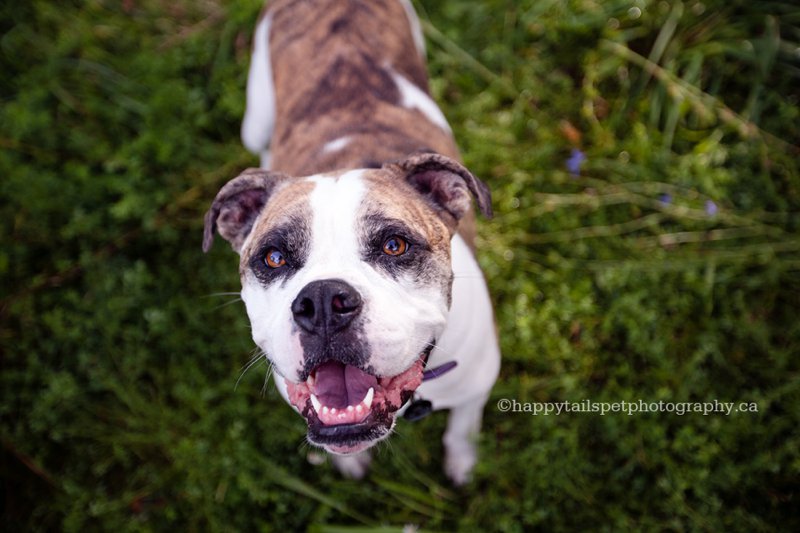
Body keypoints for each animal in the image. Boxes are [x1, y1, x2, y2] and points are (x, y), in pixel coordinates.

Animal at [202, 0, 500, 482]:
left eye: (395, 246)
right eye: (274, 257)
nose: (323, 302)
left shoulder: (477, 384)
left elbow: (463, 427)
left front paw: (463, 464)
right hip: (255, 114)